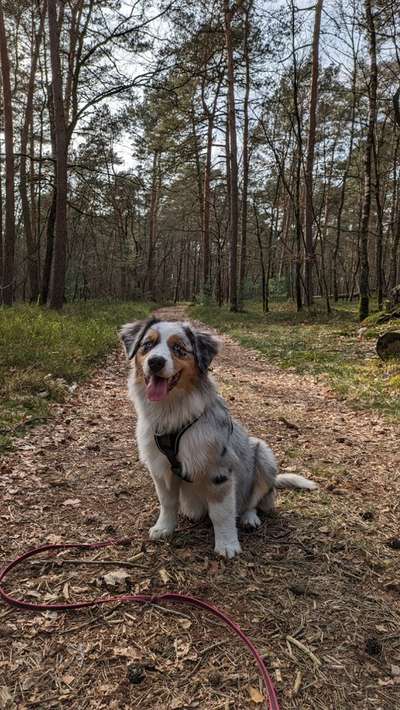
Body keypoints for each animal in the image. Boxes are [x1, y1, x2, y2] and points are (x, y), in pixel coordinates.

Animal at [120, 320, 318, 560]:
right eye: (147, 345)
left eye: (179, 349)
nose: (155, 362)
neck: (172, 411)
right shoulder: (160, 468)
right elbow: (167, 502)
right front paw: (164, 528)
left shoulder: (219, 471)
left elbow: (222, 513)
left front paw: (227, 544)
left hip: (262, 453)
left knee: (253, 501)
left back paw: (249, 518)